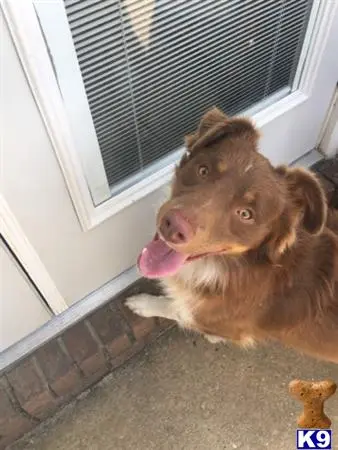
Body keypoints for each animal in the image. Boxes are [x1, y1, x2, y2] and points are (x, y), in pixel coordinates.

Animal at [127, 107, 338, 364]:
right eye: (203, 170)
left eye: (245, 214)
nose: (172, 226)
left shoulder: (216, 322)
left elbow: (177, 309)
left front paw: (143, 304)